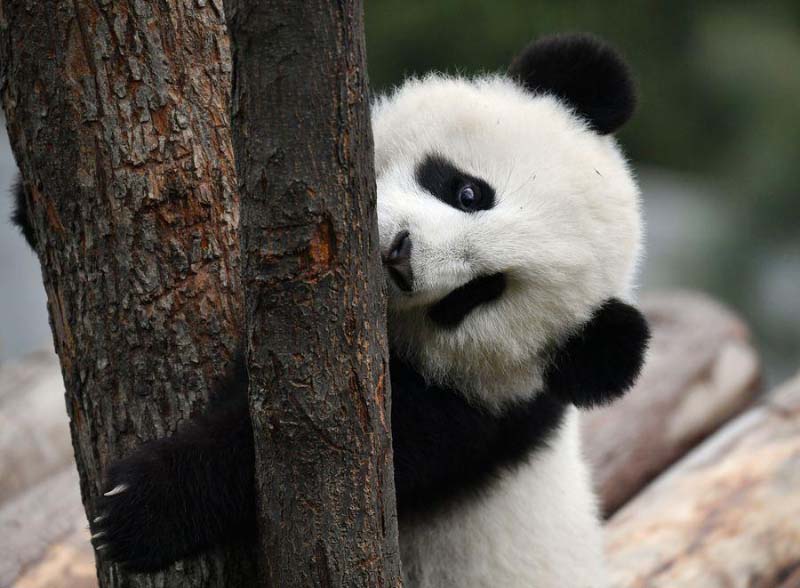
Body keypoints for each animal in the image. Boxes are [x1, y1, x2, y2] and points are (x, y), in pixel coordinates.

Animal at [10, 33, 648, 588]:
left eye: (478, 293)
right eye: (469, 192)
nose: (399, 256)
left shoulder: (463, 422)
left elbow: (289, 456)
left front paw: (139, 508)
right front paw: (28, 205)